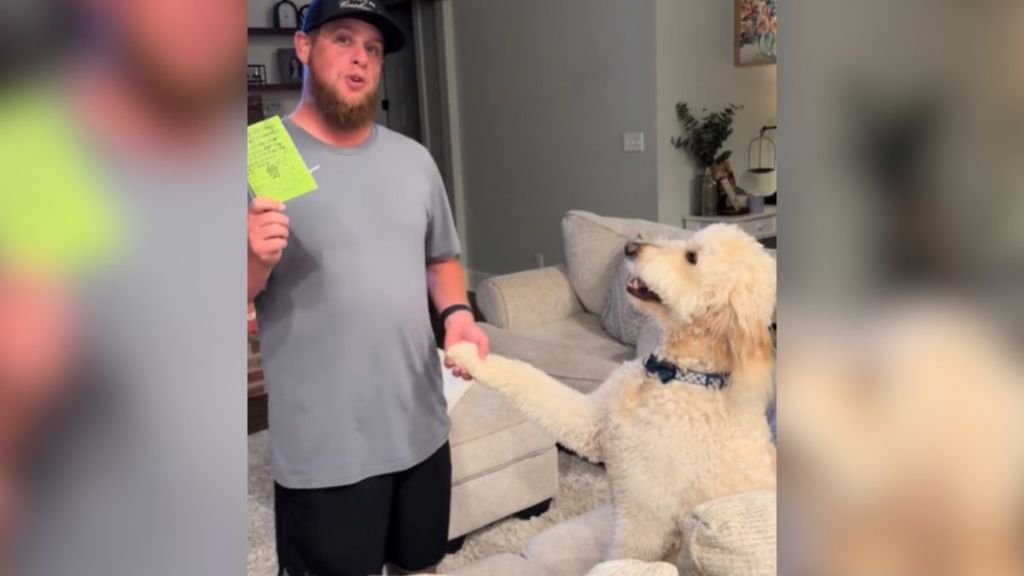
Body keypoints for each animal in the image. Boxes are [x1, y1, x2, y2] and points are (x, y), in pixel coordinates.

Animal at [448, 224, 774, 561]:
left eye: (691, 257)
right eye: (689, 244)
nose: (630, 247)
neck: (675, 375)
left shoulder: (644, 519)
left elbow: (623, 559)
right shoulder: (592, 422)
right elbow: (528, 377)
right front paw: (466, 352)